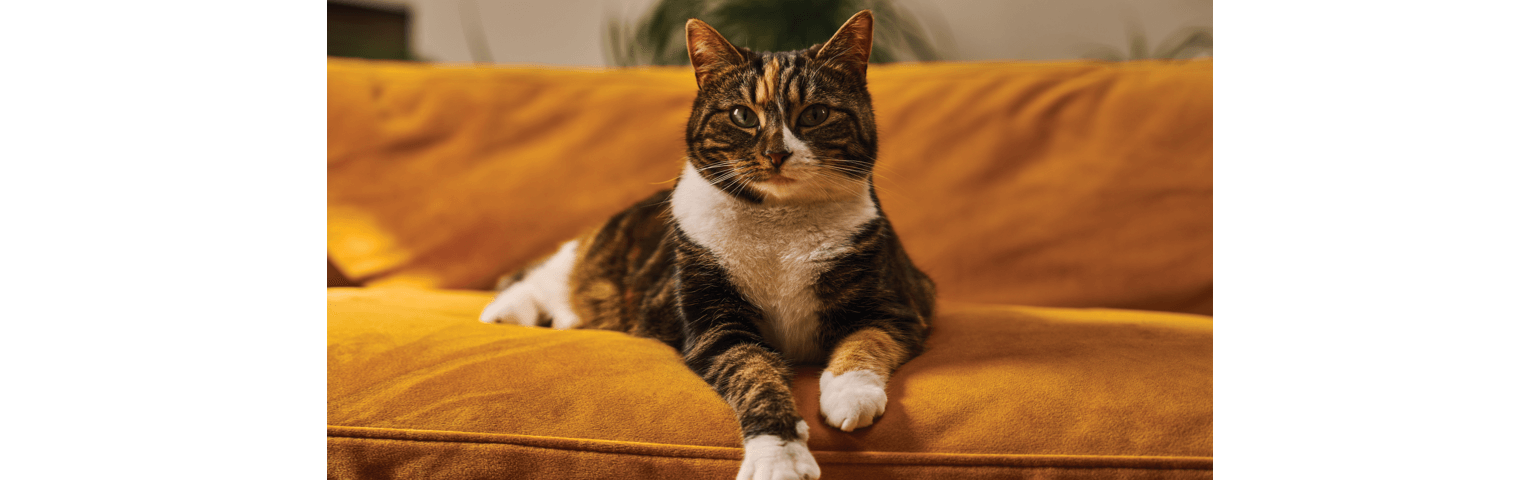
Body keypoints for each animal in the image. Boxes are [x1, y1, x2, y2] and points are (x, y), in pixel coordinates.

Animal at [483, 9, 936, 476]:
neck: (780, 223)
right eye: (742, 115)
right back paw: (506, 312)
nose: (777, 153)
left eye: (815, 114)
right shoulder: (715, 327)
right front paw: (780, 458)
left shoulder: (898, 305)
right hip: (594, 253)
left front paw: (850, 396)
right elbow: (755, 378)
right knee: (550, 272)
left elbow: (865, 342)